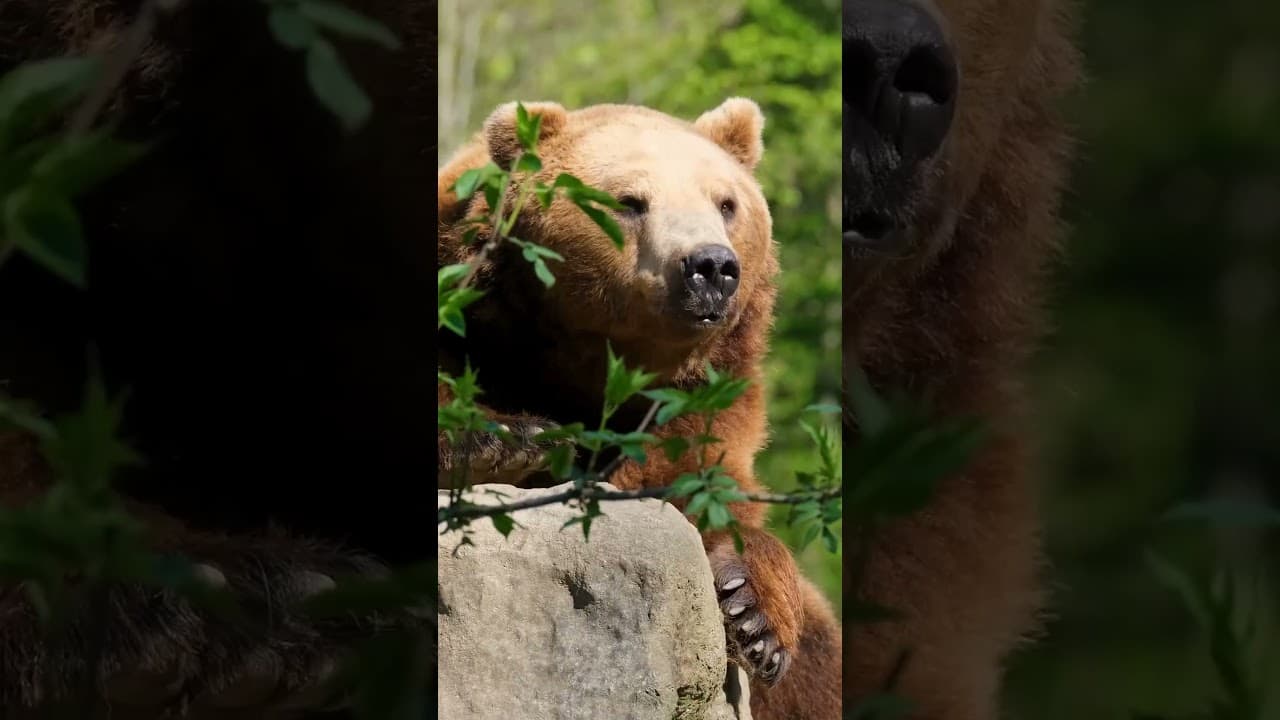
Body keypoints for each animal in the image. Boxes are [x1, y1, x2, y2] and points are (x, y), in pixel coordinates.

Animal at [437, 98, 843, 720]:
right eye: (630, 201)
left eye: (726, 203)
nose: (711, 267)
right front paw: (507, 440)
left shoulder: (708, 406)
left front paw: (754, 618)